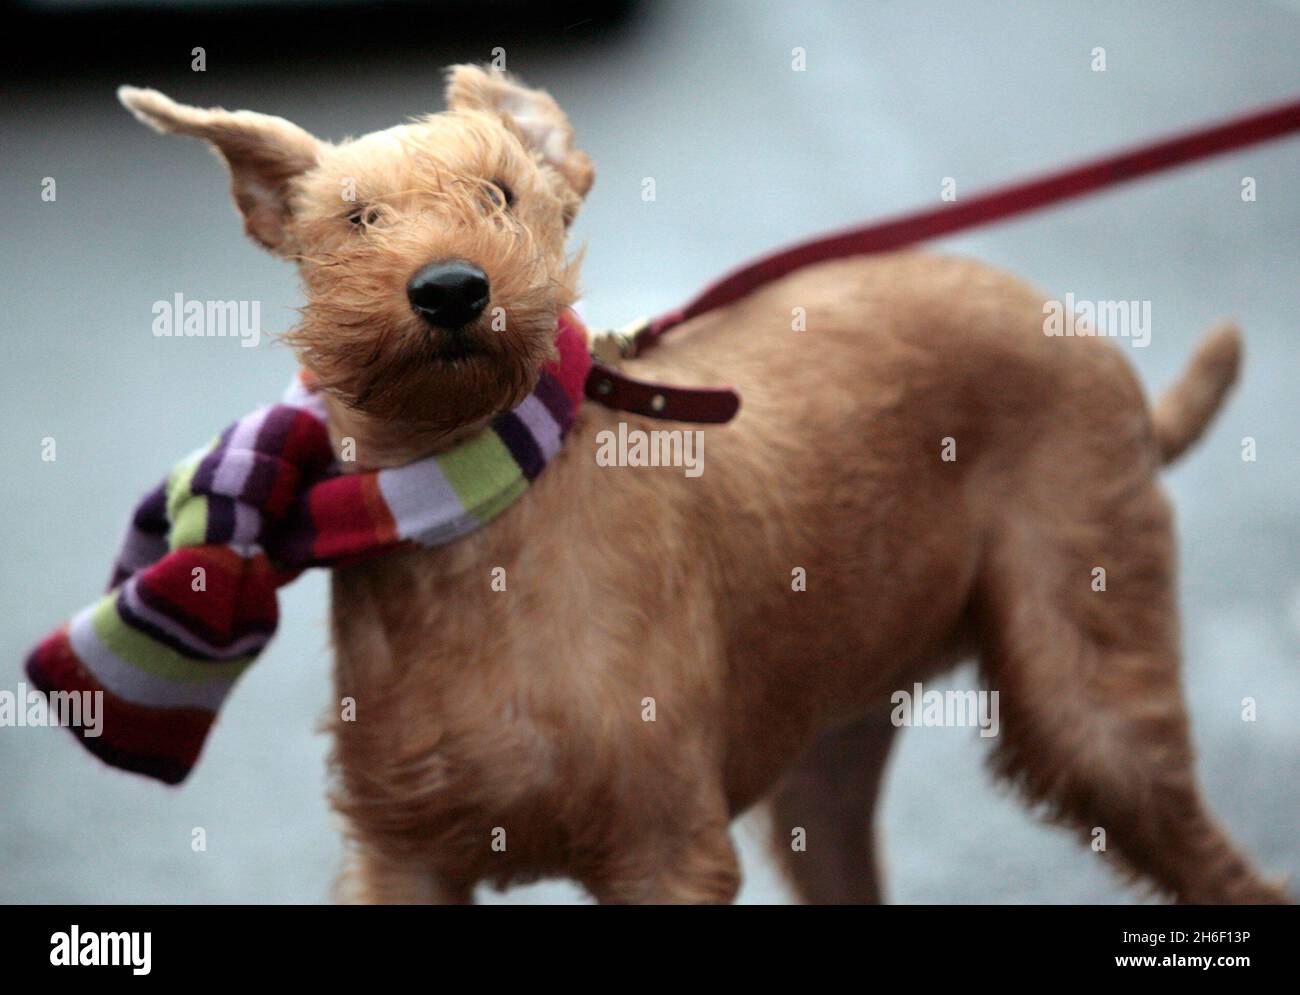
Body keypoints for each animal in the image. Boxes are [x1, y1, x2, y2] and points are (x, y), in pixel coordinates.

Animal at [119, 62, 1289, 900]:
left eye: (503, 193)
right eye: (357, 220)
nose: (450, 289)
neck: (477, 497)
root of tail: (1098, 349)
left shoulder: (663, 850)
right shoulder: (405, 857)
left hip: (1093, 712)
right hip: (828, 759)